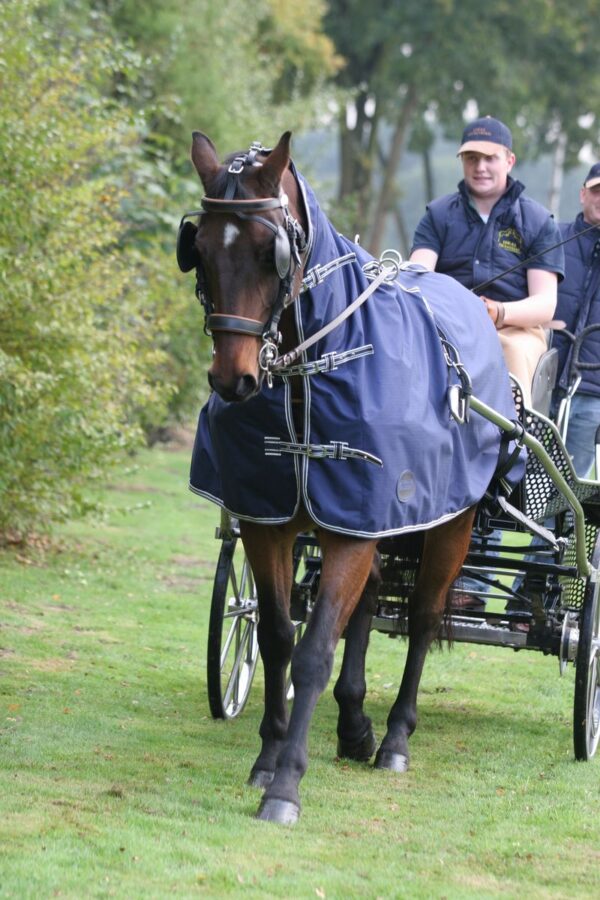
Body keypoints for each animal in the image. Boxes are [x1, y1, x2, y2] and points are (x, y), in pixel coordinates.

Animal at [179, 130, 520, 828]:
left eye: (270, 253)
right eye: (198, 251)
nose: (232, 379)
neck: (307, 371)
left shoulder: (355, 525)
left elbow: (314, 650)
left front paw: (286, 785)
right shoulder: (277, 521)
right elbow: (279, 636)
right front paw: (268, 757)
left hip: (447, 524)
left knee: (421, 617)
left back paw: (393, 738)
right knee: (366, 607)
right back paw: (355, 723)